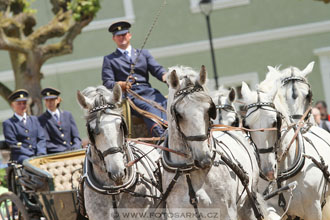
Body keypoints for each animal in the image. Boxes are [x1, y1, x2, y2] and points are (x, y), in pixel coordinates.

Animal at [162, 65, 268, 220]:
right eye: (179, 114)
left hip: (248, 202)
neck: (190, 171)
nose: (204, 159)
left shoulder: (226, 212)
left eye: (208, 110)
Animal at [240, 81, 330, 219]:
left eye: (275, 122)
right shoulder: (271, 206)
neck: (281, 176)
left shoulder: (314, 210)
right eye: (247, 126)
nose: (268, 172)